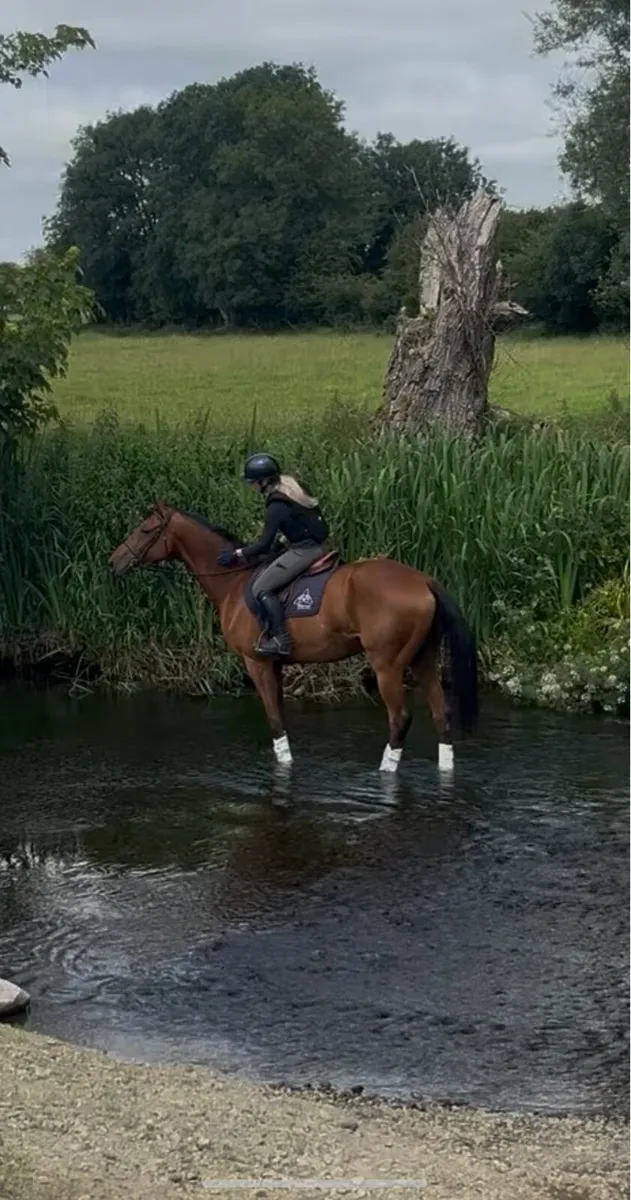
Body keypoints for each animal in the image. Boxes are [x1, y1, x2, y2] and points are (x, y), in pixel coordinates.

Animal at [108, 503, 478, 772]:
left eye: (145, 530)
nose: (113, 562)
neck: (233, 581)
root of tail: (423, 581)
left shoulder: (256, 663)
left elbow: (274, 722)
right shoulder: (275, 665)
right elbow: (281, 718)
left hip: (387, 665)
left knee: (399, 718)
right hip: (424, 659)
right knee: (441, 714)